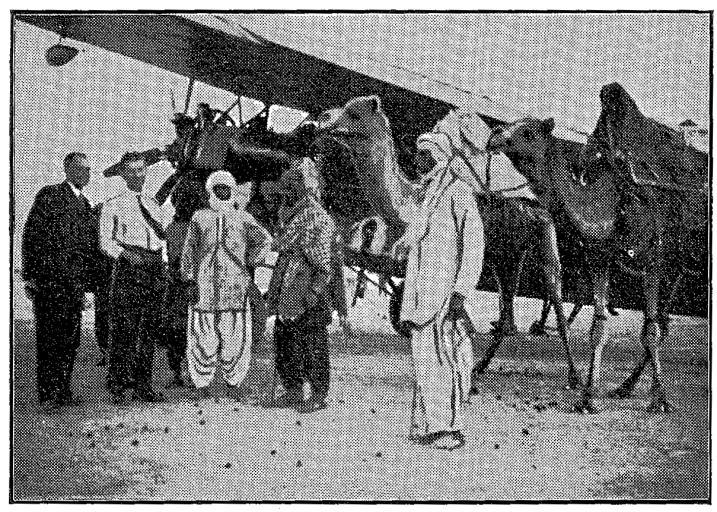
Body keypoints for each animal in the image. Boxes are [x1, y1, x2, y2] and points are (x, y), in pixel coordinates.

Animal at [316, 95, 580, 388]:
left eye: (354, 113)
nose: (323, 119)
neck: (412, 204)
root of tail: (536, 203)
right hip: (506, 258)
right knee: (507, 316)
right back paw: (479, 368)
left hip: (544, 240)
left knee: (555, 297)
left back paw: (575, 378)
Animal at [484, 84, 708, 412]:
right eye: (509, 125)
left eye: (528, 131)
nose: (494, 135)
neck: (610, 203)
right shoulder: (600, 257)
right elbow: (599, 326)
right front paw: (589, 395)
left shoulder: (653, 261)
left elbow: (651, 331)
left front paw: (661, 399)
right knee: (664, 321)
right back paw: (625, 387)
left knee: (660, 325)